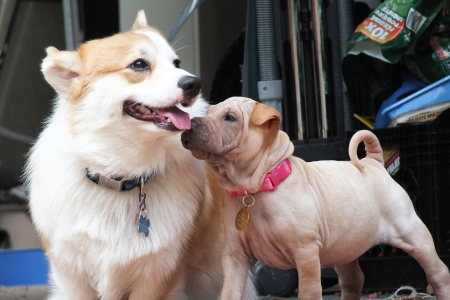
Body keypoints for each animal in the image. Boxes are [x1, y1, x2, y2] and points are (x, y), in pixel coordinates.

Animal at [26, 9, 255, 300]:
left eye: (176, 62)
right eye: (138, 64)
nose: (194, 83)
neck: (120, 176)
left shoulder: (158, 272)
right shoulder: (72, 274)